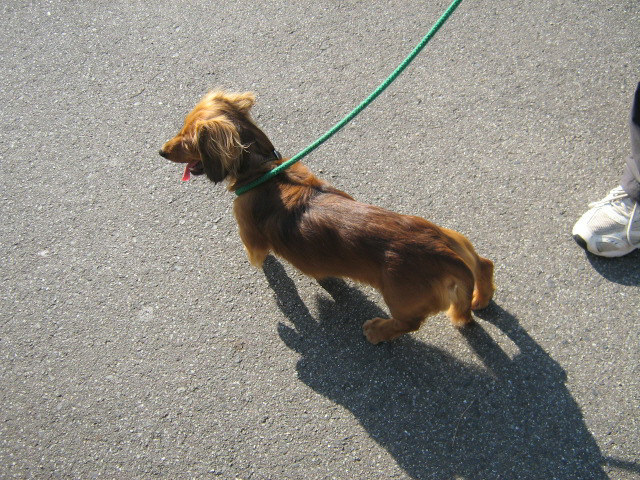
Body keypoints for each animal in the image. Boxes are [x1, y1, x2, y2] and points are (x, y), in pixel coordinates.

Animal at [159, 90, 495, 344]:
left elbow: (260, 257)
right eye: (182, 128)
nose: (161, 151)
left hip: (400, 297)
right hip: (455, 237)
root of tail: (442, 253)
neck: (263, 172)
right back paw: (482, 296)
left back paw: (377, 330)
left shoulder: (249, 234)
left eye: (187, 137)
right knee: (484, 263)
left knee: (409, 324)